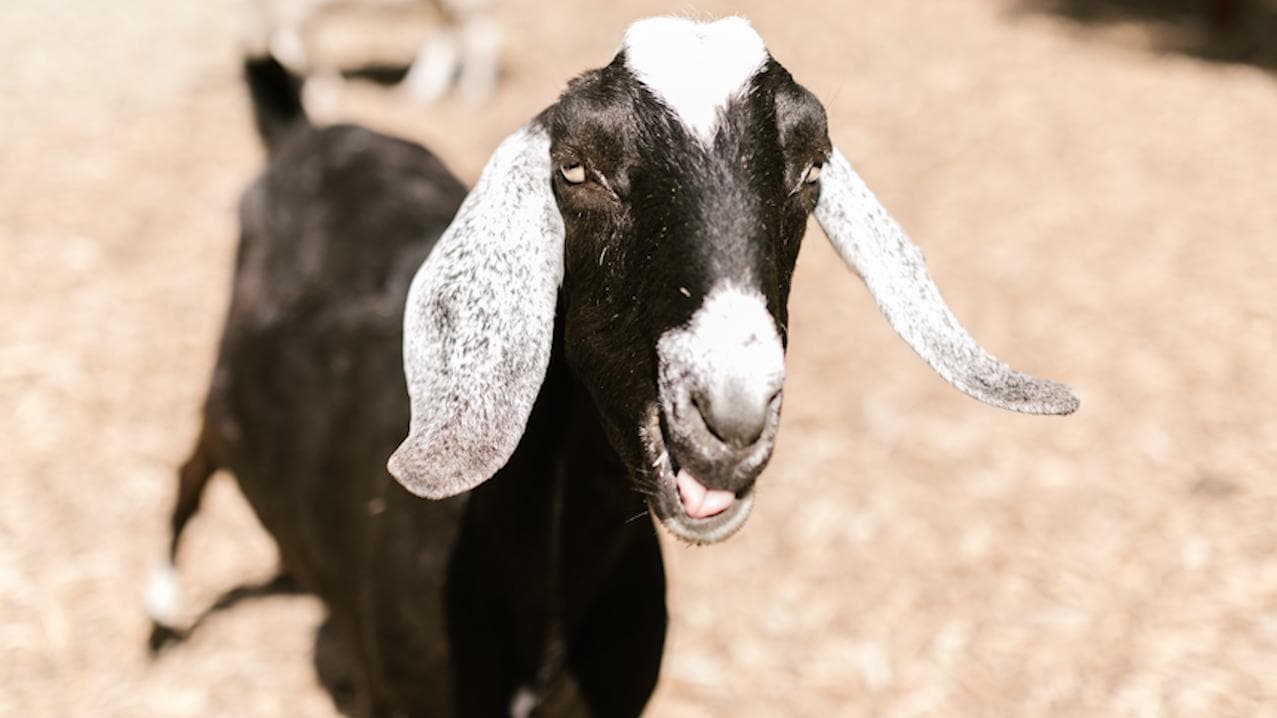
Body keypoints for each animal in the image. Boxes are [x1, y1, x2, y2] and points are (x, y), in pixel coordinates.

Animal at [152, 16, 1078, 718]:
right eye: (575, 168)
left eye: (811, 167)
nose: (729, 413)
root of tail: (304, 135)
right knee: (191, 469)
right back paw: (162, 616)